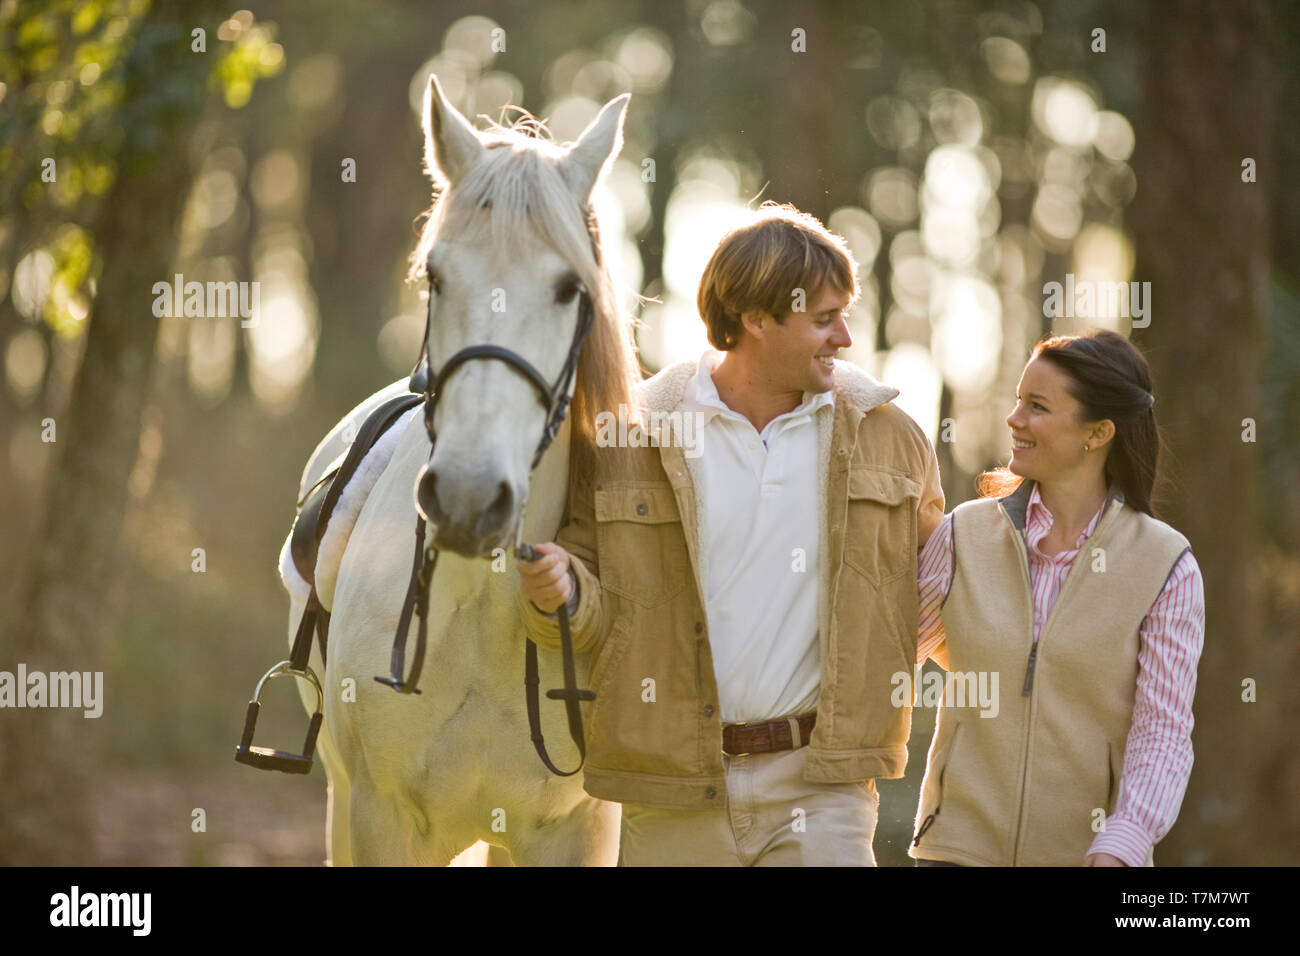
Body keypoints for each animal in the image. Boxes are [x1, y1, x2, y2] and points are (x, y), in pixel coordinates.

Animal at [275, 76, 641, 865]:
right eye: (436, 277)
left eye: (570, 288)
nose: (469, 499)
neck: (483, 620)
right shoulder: (380, 820)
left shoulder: (579, 829)